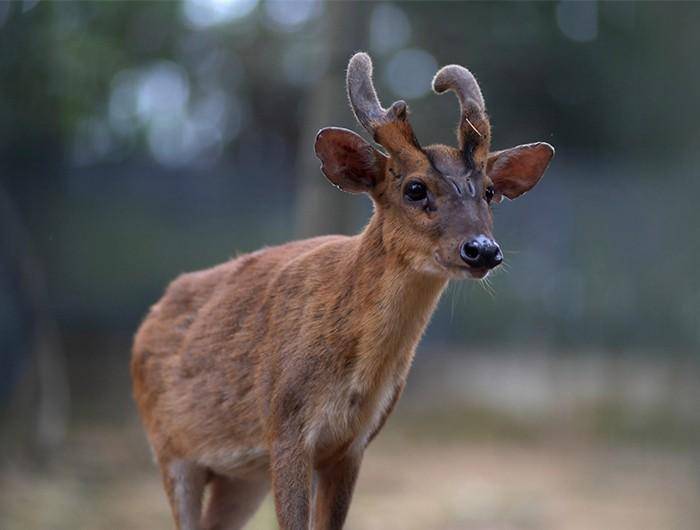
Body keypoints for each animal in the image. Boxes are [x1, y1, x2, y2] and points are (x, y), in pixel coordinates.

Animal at [131, 50, 556, 528]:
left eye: (489, 191)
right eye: (415, 188)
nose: (482, 249)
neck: (354, 376)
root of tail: (148, 321)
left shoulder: (352, 444)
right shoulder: (285, 426)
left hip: (240, 476)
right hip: (170, 449)